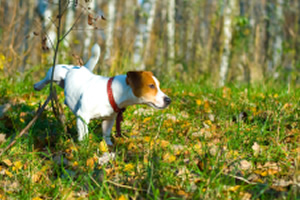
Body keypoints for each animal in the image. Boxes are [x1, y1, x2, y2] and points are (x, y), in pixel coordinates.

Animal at [33, 43, 170, 145]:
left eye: (158, 85)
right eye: (151, 86)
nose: (169, 100)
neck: (111, 92)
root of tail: (80, 67)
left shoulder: (109, 119)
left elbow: (106, 135)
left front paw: (108, 146)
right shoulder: (83, 116)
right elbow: (83, 135)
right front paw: (84, 147)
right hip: (57, 72)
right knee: (48, 77)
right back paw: (38, 85)